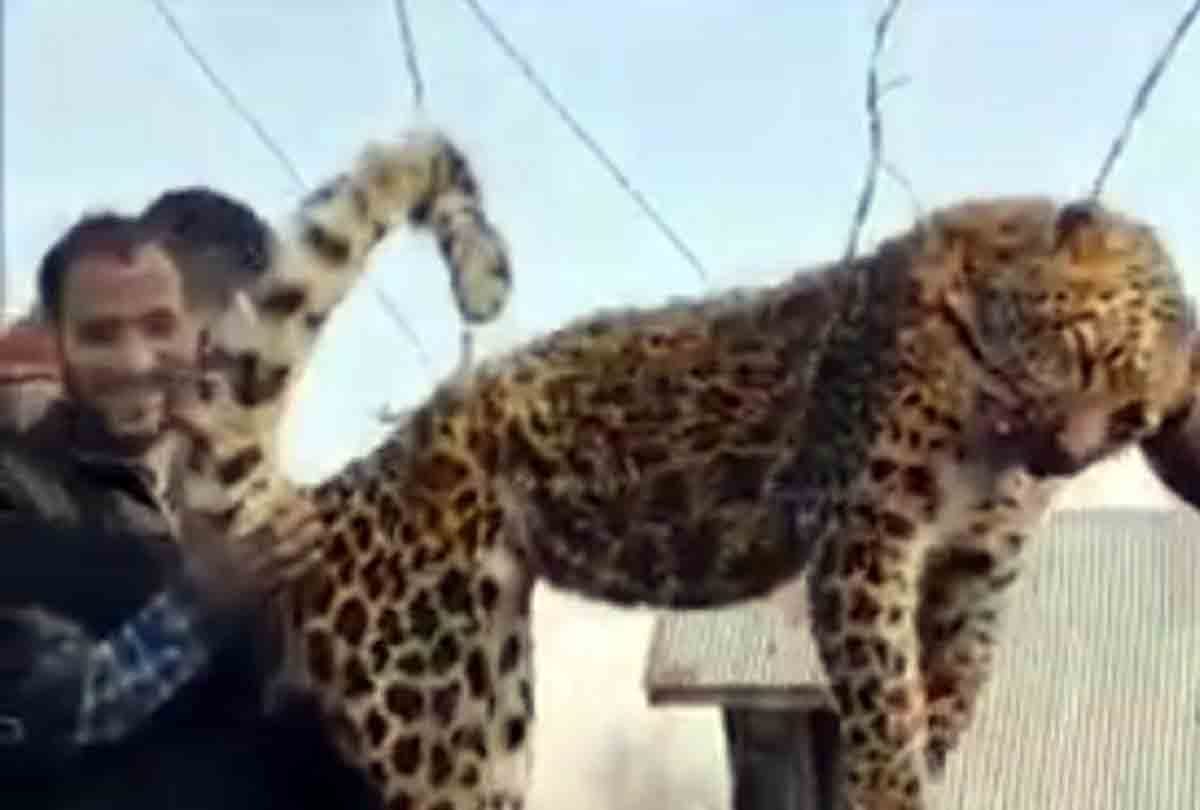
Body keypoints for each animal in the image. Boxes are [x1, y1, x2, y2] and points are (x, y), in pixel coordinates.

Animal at [179, 192, 1200, 810]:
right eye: (1085, 354)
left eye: (1134, 419)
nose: (1062, 455)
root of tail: (333, 498)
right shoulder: (866, 534)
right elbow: (884, 694)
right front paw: (885, 782)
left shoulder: (974, 569)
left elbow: (950, 688)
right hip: (421, 706)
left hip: (485, 698)